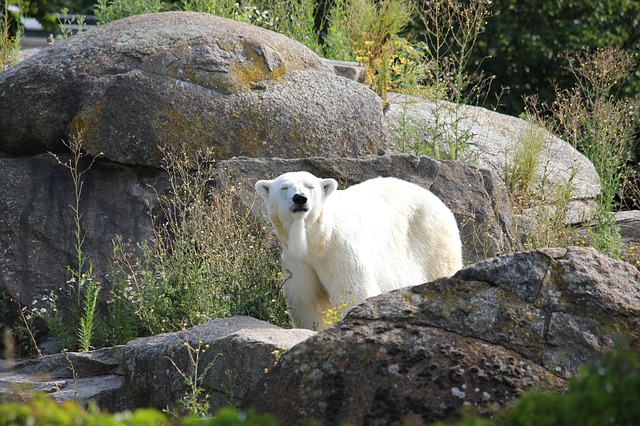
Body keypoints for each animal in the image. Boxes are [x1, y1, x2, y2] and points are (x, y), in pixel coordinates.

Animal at [255, 171, 462, 330]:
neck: (316, 239)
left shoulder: (339, 248)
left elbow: (354, 290)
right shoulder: (298, 260)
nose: (300, 198)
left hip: (433, 243)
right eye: (284, 187)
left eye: (310, 186)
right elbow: (308, 300)